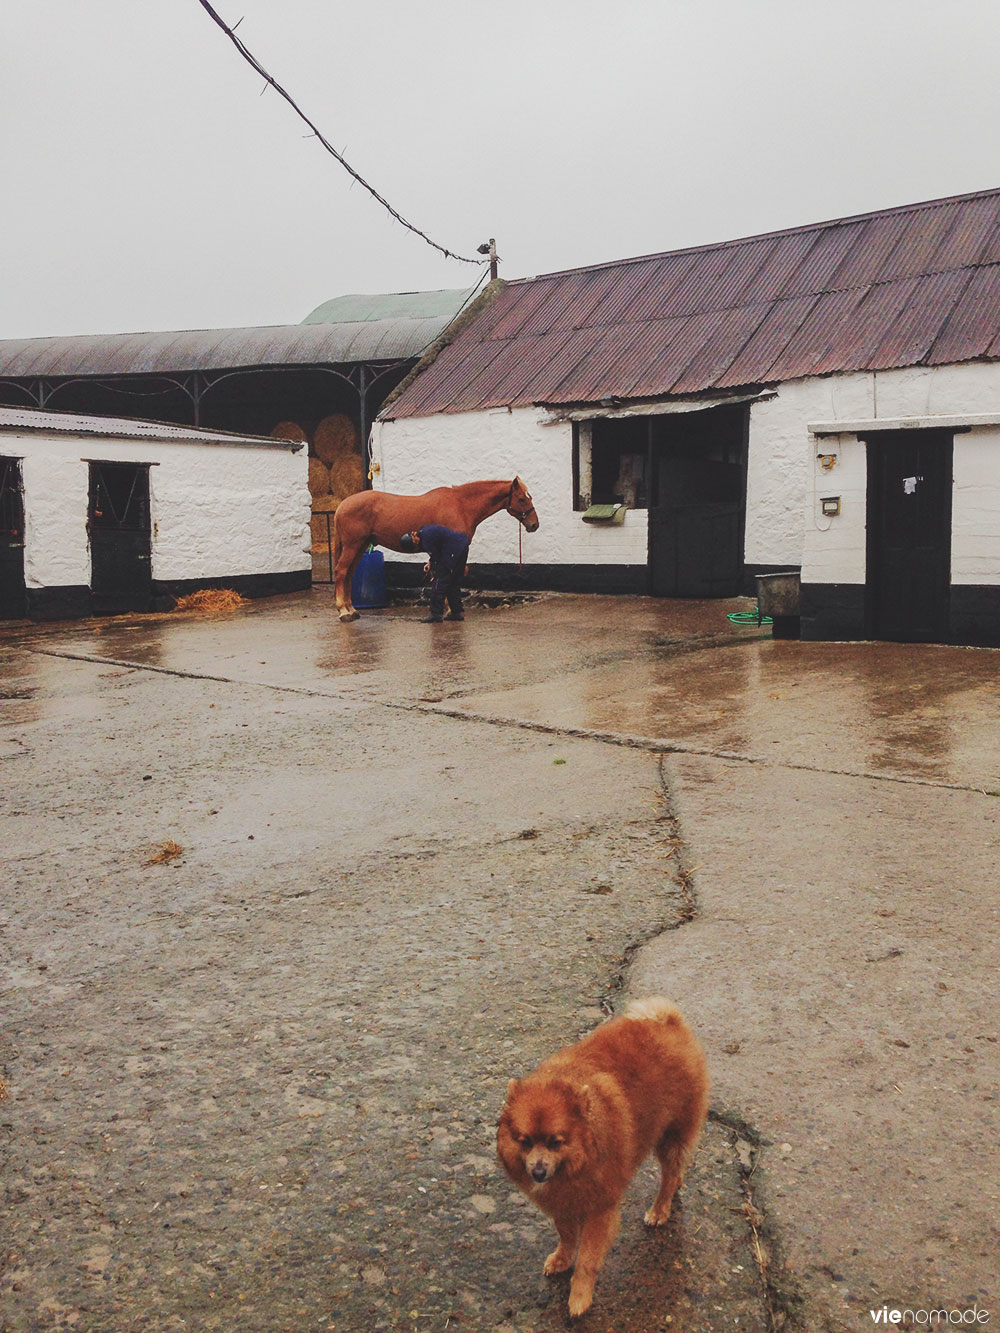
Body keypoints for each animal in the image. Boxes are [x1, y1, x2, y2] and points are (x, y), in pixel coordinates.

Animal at [333, 477, 541, 621]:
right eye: (522, 499)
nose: (534, 525)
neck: (461, 505)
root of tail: (342, 505)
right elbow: (448, 576)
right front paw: (448, 610)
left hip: (360, 546)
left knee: (349, 574)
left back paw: (352, 609)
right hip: (353, 545)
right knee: (341, 572)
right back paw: (344, 611)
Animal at [498, 997, 709, 1317]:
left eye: (556, 1142)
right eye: (525, 1141)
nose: (538, 1172)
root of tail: (668, 1021)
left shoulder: (600, 1207)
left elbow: (587, 1259)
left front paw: (579, 1297)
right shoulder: (564, 1203)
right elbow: (567, 1237)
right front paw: (562, 1259)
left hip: (672, 1134)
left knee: (669, 1173)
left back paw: (660, 1209)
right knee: (677, 1171)